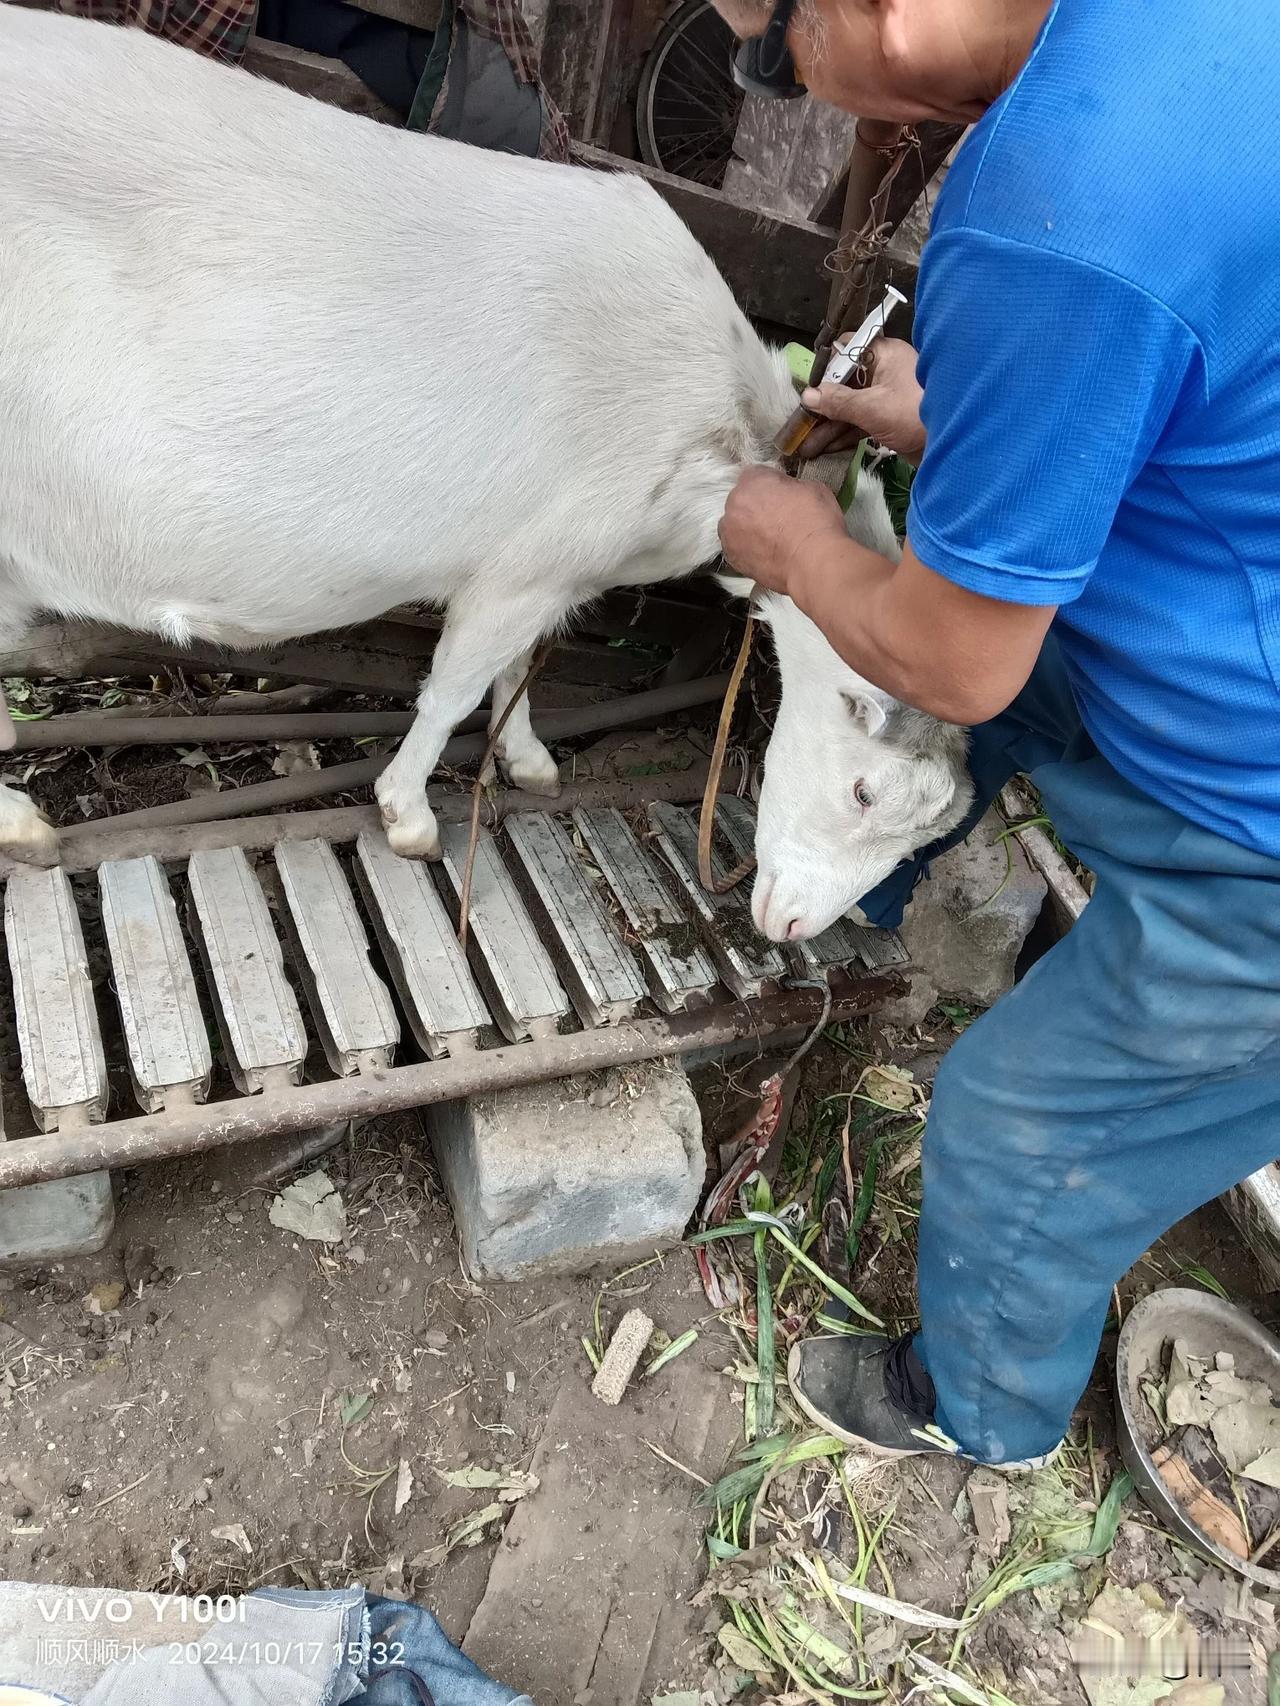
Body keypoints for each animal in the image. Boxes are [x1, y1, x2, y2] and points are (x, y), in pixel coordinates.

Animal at [0, 6, 969, 941]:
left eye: (926, 837)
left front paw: (528, 757)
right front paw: (407, 813)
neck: (722, 427)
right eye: (864, 791)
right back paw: (23, 822)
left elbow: (526, 663)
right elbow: (459, 682)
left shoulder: (561, 572)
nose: (794, 927)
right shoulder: (522, 566)